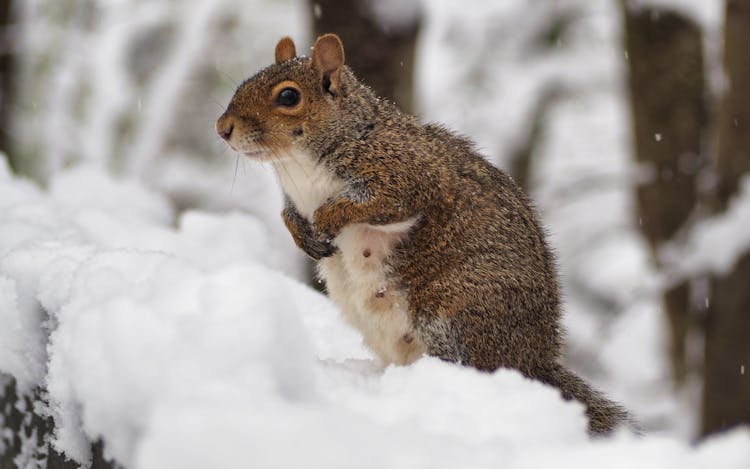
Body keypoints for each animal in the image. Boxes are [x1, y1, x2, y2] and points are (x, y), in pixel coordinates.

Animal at [216, 33, 636, 436]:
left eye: (288, 96)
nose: (222, 129)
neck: (296, 166)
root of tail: (533, 361)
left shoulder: (407, 174)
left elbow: (384, 202)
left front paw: (326, 218)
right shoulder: (295, 198)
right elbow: (286, 215)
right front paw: (304, 235)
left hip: (456, 307)